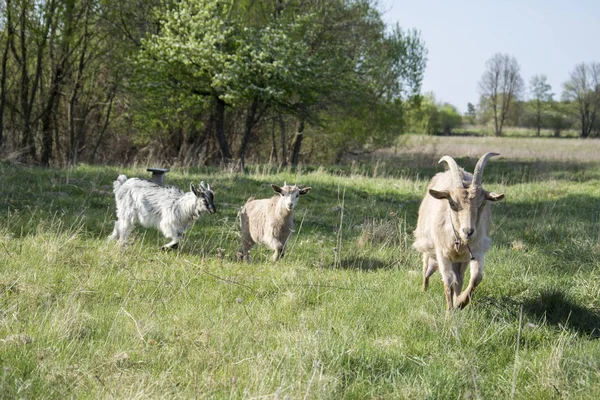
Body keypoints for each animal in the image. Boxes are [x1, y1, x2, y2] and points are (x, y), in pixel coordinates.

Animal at [412, 153, 506, 310]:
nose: (468, 231)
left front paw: (460, 302)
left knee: (459, 278)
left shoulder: (475, 252)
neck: (459, 241)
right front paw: (449, 312)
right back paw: (423, 289)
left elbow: (475, 277)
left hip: (461, 261)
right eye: (452, 203)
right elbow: (448, 281)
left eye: (483, 203)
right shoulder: (442, 253)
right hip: (428, 247)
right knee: (426, 269)